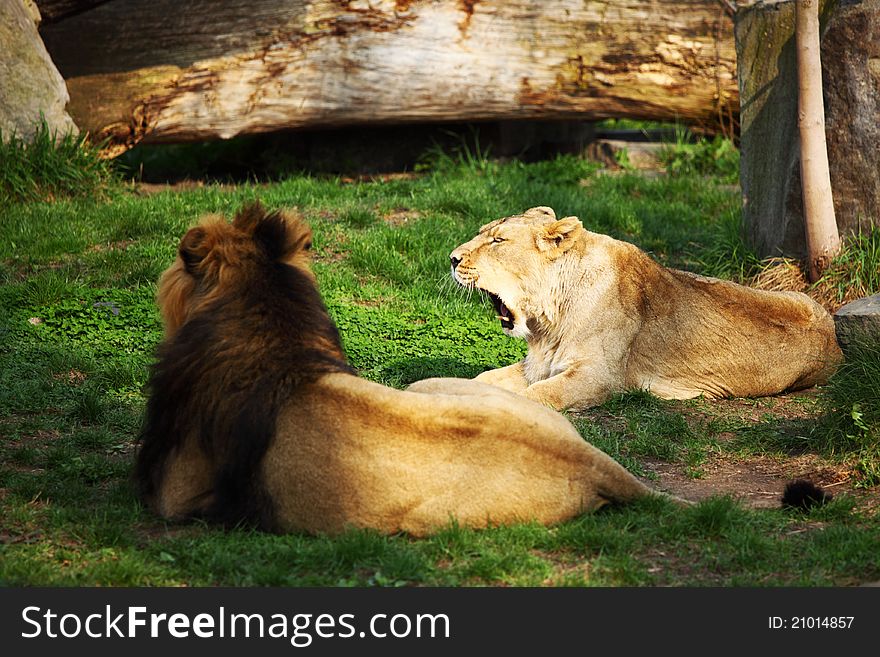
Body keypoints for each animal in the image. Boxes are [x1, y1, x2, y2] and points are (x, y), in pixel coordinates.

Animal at [450, 206, 844, 410]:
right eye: (484, 232)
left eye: (498, 241)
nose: (452, 258)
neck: (549, 320)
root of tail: (835, 338)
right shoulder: (539, 366)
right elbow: (482, 379)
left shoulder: (598, 377)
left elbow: (535, 396)